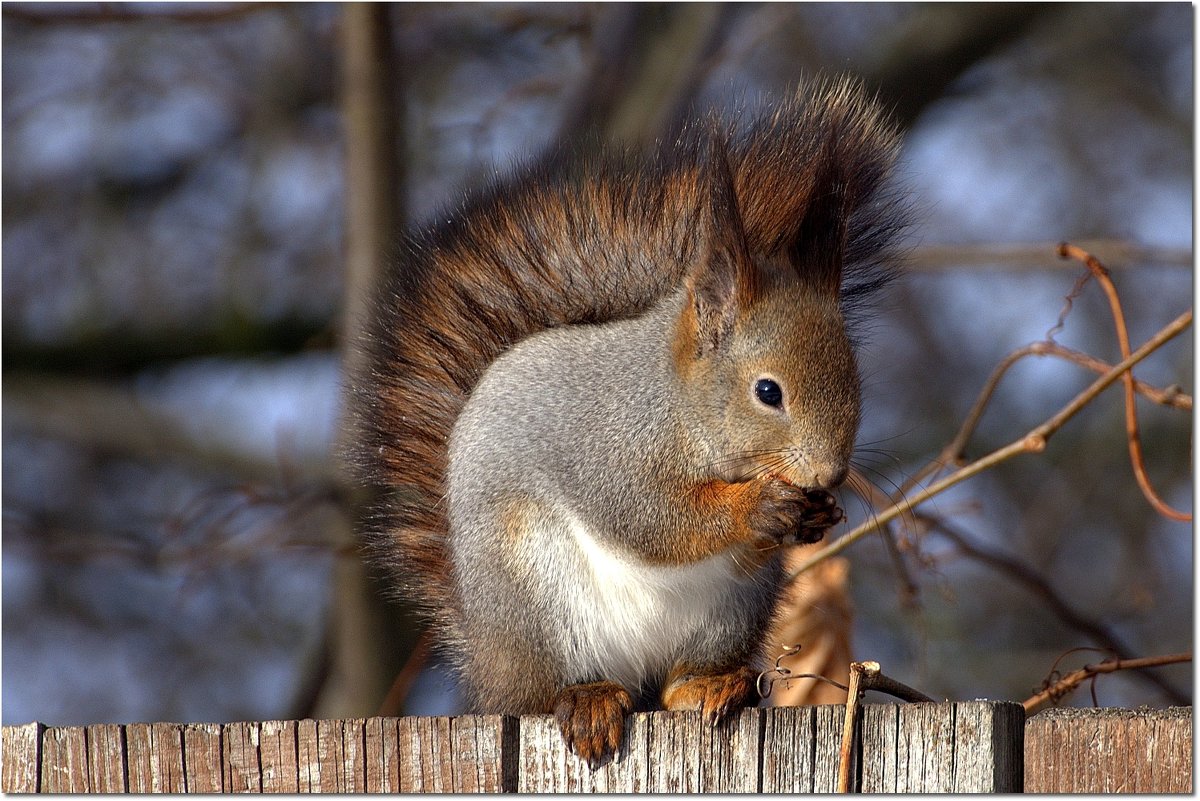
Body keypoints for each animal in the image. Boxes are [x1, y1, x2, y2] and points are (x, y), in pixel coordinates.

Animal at [350, 77, 902, 767]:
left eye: (856, 379)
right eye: (767, 391)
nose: (829, 473)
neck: (679, 411)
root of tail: (490, 665)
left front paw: (818, 514)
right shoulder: (606, 448)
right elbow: (647, 518)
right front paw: (755, 507)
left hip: (730, 609)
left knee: (674, 685)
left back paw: (708, 686)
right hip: (536, 593)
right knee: (554, 688)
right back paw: (585, 699)